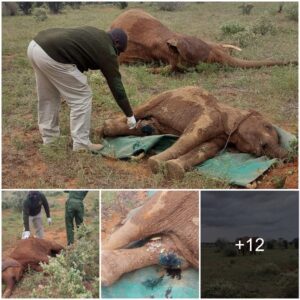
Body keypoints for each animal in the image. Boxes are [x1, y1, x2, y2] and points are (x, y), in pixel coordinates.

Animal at [102, 85, 288, 179]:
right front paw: (156, 164)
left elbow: (206, 149)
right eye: (267, 127)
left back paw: (146, 128)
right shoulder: (210, 117)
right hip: (161, 97)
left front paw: (174, 169)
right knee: (139, 111)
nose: (286, 157)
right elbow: (190, 138)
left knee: (148, 128)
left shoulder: (221, 137)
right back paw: (104, 128)